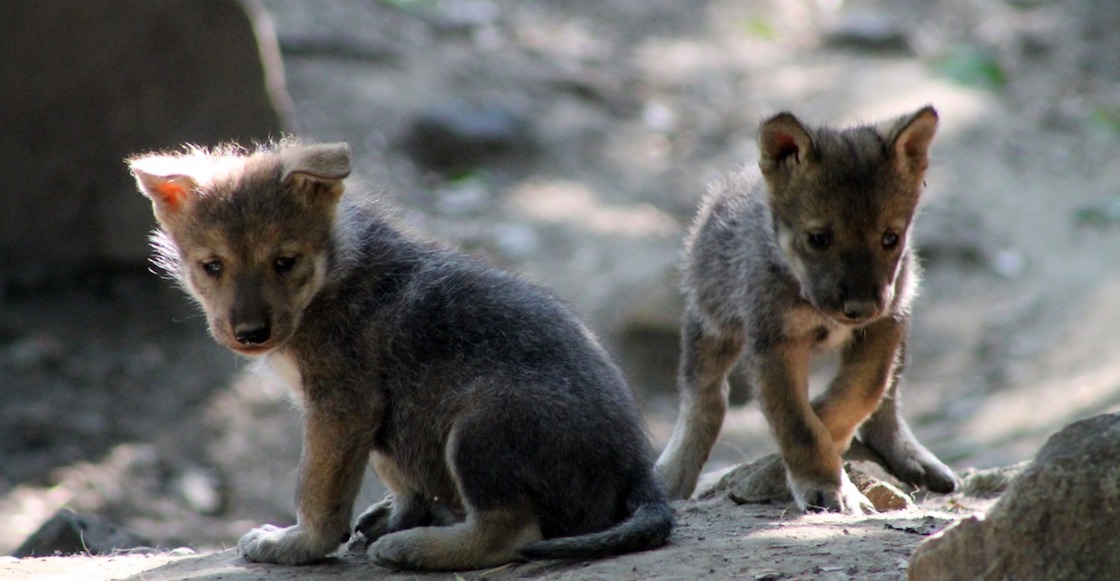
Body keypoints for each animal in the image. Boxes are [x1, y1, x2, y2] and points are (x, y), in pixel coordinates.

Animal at [128, 141, 673, 570]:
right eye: (211, 266)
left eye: (285, 262)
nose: (250, 334)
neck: (332, 277)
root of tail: (640, 470)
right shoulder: (373, 416)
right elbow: (395, 475)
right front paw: (397, 513)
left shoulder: (342, 404)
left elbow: (317, 493)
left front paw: (297, 544)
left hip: (481, 424)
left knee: (512, 533)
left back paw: (416, 548)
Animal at [655, 106, 958, 513]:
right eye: (819, 238)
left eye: (890, 238)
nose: (859, 307)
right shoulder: (773, 342)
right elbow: (798, 424)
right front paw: (825, 483)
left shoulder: (884, 325)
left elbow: (863, 390)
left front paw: (827, 425)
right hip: (712, 323)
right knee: (704, 400)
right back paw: (673, 474)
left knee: (888, 403)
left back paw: (913, 457)